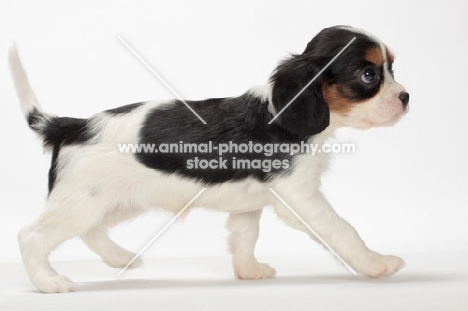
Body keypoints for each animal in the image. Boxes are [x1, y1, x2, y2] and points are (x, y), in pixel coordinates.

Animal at [9, 25, 408, 294]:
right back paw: (49, 282)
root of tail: (72, 125)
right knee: (31, 235)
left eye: (392, 69)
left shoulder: (251, 202)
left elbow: (245, 235)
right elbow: (343, 230)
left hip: (111, 201)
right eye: (369, 75)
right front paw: (377, 263)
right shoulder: (300, 197)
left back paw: (122, 258)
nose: (406, 97)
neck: (280, 113)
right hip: (82, 202)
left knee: (90, 231)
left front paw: (248, 271)